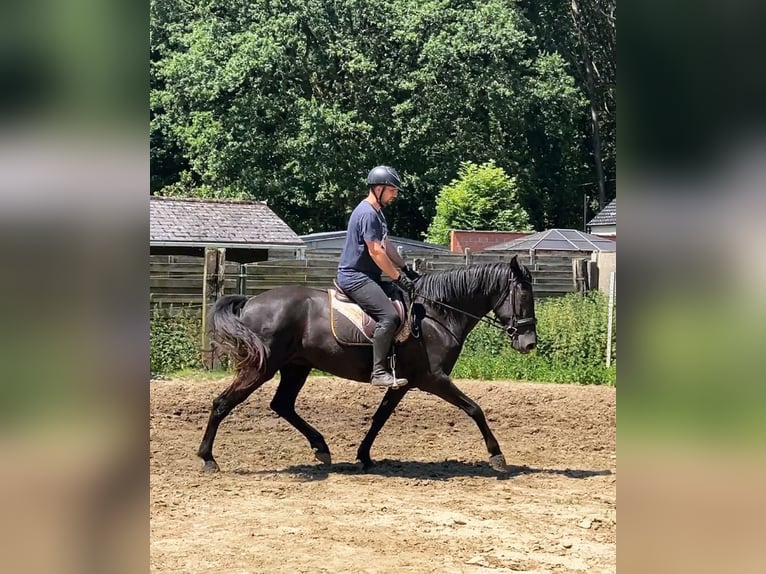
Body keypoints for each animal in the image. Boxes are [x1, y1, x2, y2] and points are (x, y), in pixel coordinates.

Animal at [204, 255, 540, 472]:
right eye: (524, 297)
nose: (529, 343)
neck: (437, 314)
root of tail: (250, 302)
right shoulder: (434, 378)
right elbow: (474, 408)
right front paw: (497, 455)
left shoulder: (403, 383)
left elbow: (380, 417)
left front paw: (364, 455)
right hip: (261, 368)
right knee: (222, 403)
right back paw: (208, 458)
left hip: (296, 367)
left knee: (282, 404)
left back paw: (321, 448)